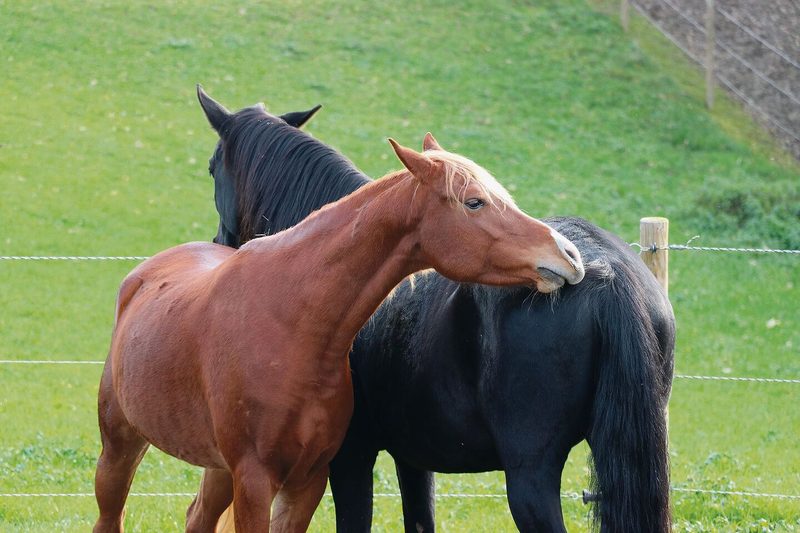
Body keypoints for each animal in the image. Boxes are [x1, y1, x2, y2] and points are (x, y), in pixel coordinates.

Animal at [92, 88, 586, 533]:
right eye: (474, 202)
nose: (568, 256)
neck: (291, 321)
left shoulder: (309, 479)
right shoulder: (261, 479)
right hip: (122, 448)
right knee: (111, 517)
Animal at [201, 90, 675, 532]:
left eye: (211, 168)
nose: (221, 245)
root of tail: (608, 273)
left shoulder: (350, 458)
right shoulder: (413, 458)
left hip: (530, 479)